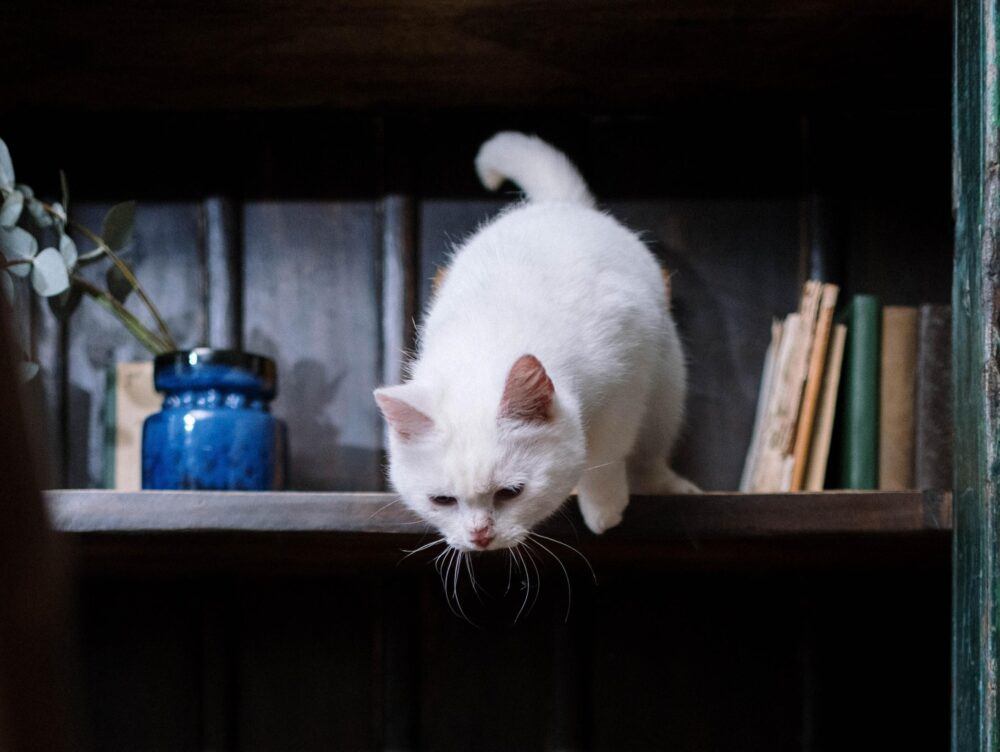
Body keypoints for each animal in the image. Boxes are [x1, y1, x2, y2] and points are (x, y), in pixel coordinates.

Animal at [376, 131, 696, 552]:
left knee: (649, 455)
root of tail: (560, 204)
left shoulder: (628, 381)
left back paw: (669, 486)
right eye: (442, 500)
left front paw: (603, 508)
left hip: (666, 391)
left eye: (510, 493)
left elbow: (607, 450)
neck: (487, 340)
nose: (480, 536)